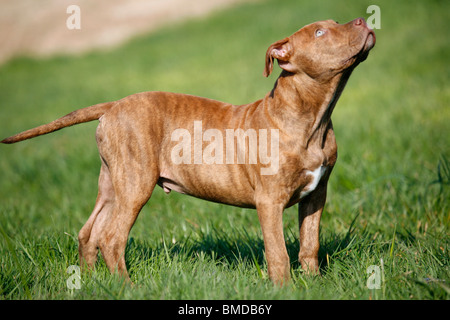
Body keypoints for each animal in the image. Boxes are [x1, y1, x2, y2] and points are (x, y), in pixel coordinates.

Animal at [1, 17, 374, 284]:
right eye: (321, 32)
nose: (362, 19)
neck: (312, 118)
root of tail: (113, 105)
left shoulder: (316, 195)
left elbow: (309, 245)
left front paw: (314, 284)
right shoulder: (270, 202)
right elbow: (278, 252)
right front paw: (285, 289)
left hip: (112, 183)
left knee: (88, 233)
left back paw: (95, 284)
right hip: (135, 185)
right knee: (111, 237)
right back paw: (126, 287)